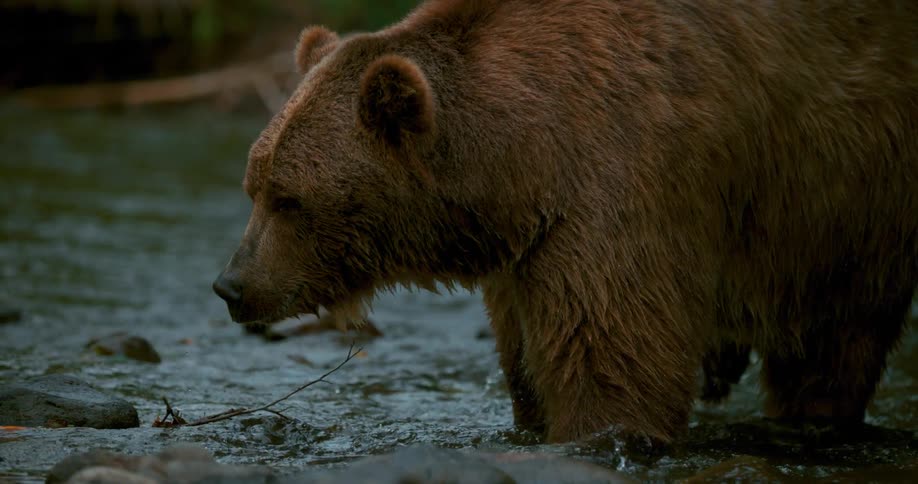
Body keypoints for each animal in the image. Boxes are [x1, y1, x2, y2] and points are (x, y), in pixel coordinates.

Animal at [213, 0, 918, 445]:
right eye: (254, 185)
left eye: (288, 198)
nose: (231, 285)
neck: (518, 161)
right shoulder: (523, 249)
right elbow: (525, 360)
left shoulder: (619, 186)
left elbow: (613, 356)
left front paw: (600, 430)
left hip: (843, 202)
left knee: (834, 338)